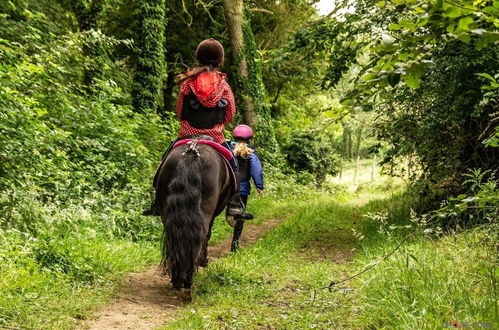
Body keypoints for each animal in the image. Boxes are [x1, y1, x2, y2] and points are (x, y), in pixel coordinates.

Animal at [157, 139, 233, 302]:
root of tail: (192, 151)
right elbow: (208, 235)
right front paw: (203, 261)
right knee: (200, 236)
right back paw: (187, 283)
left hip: (166, 209)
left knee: (173, 239)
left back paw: (177, 281)